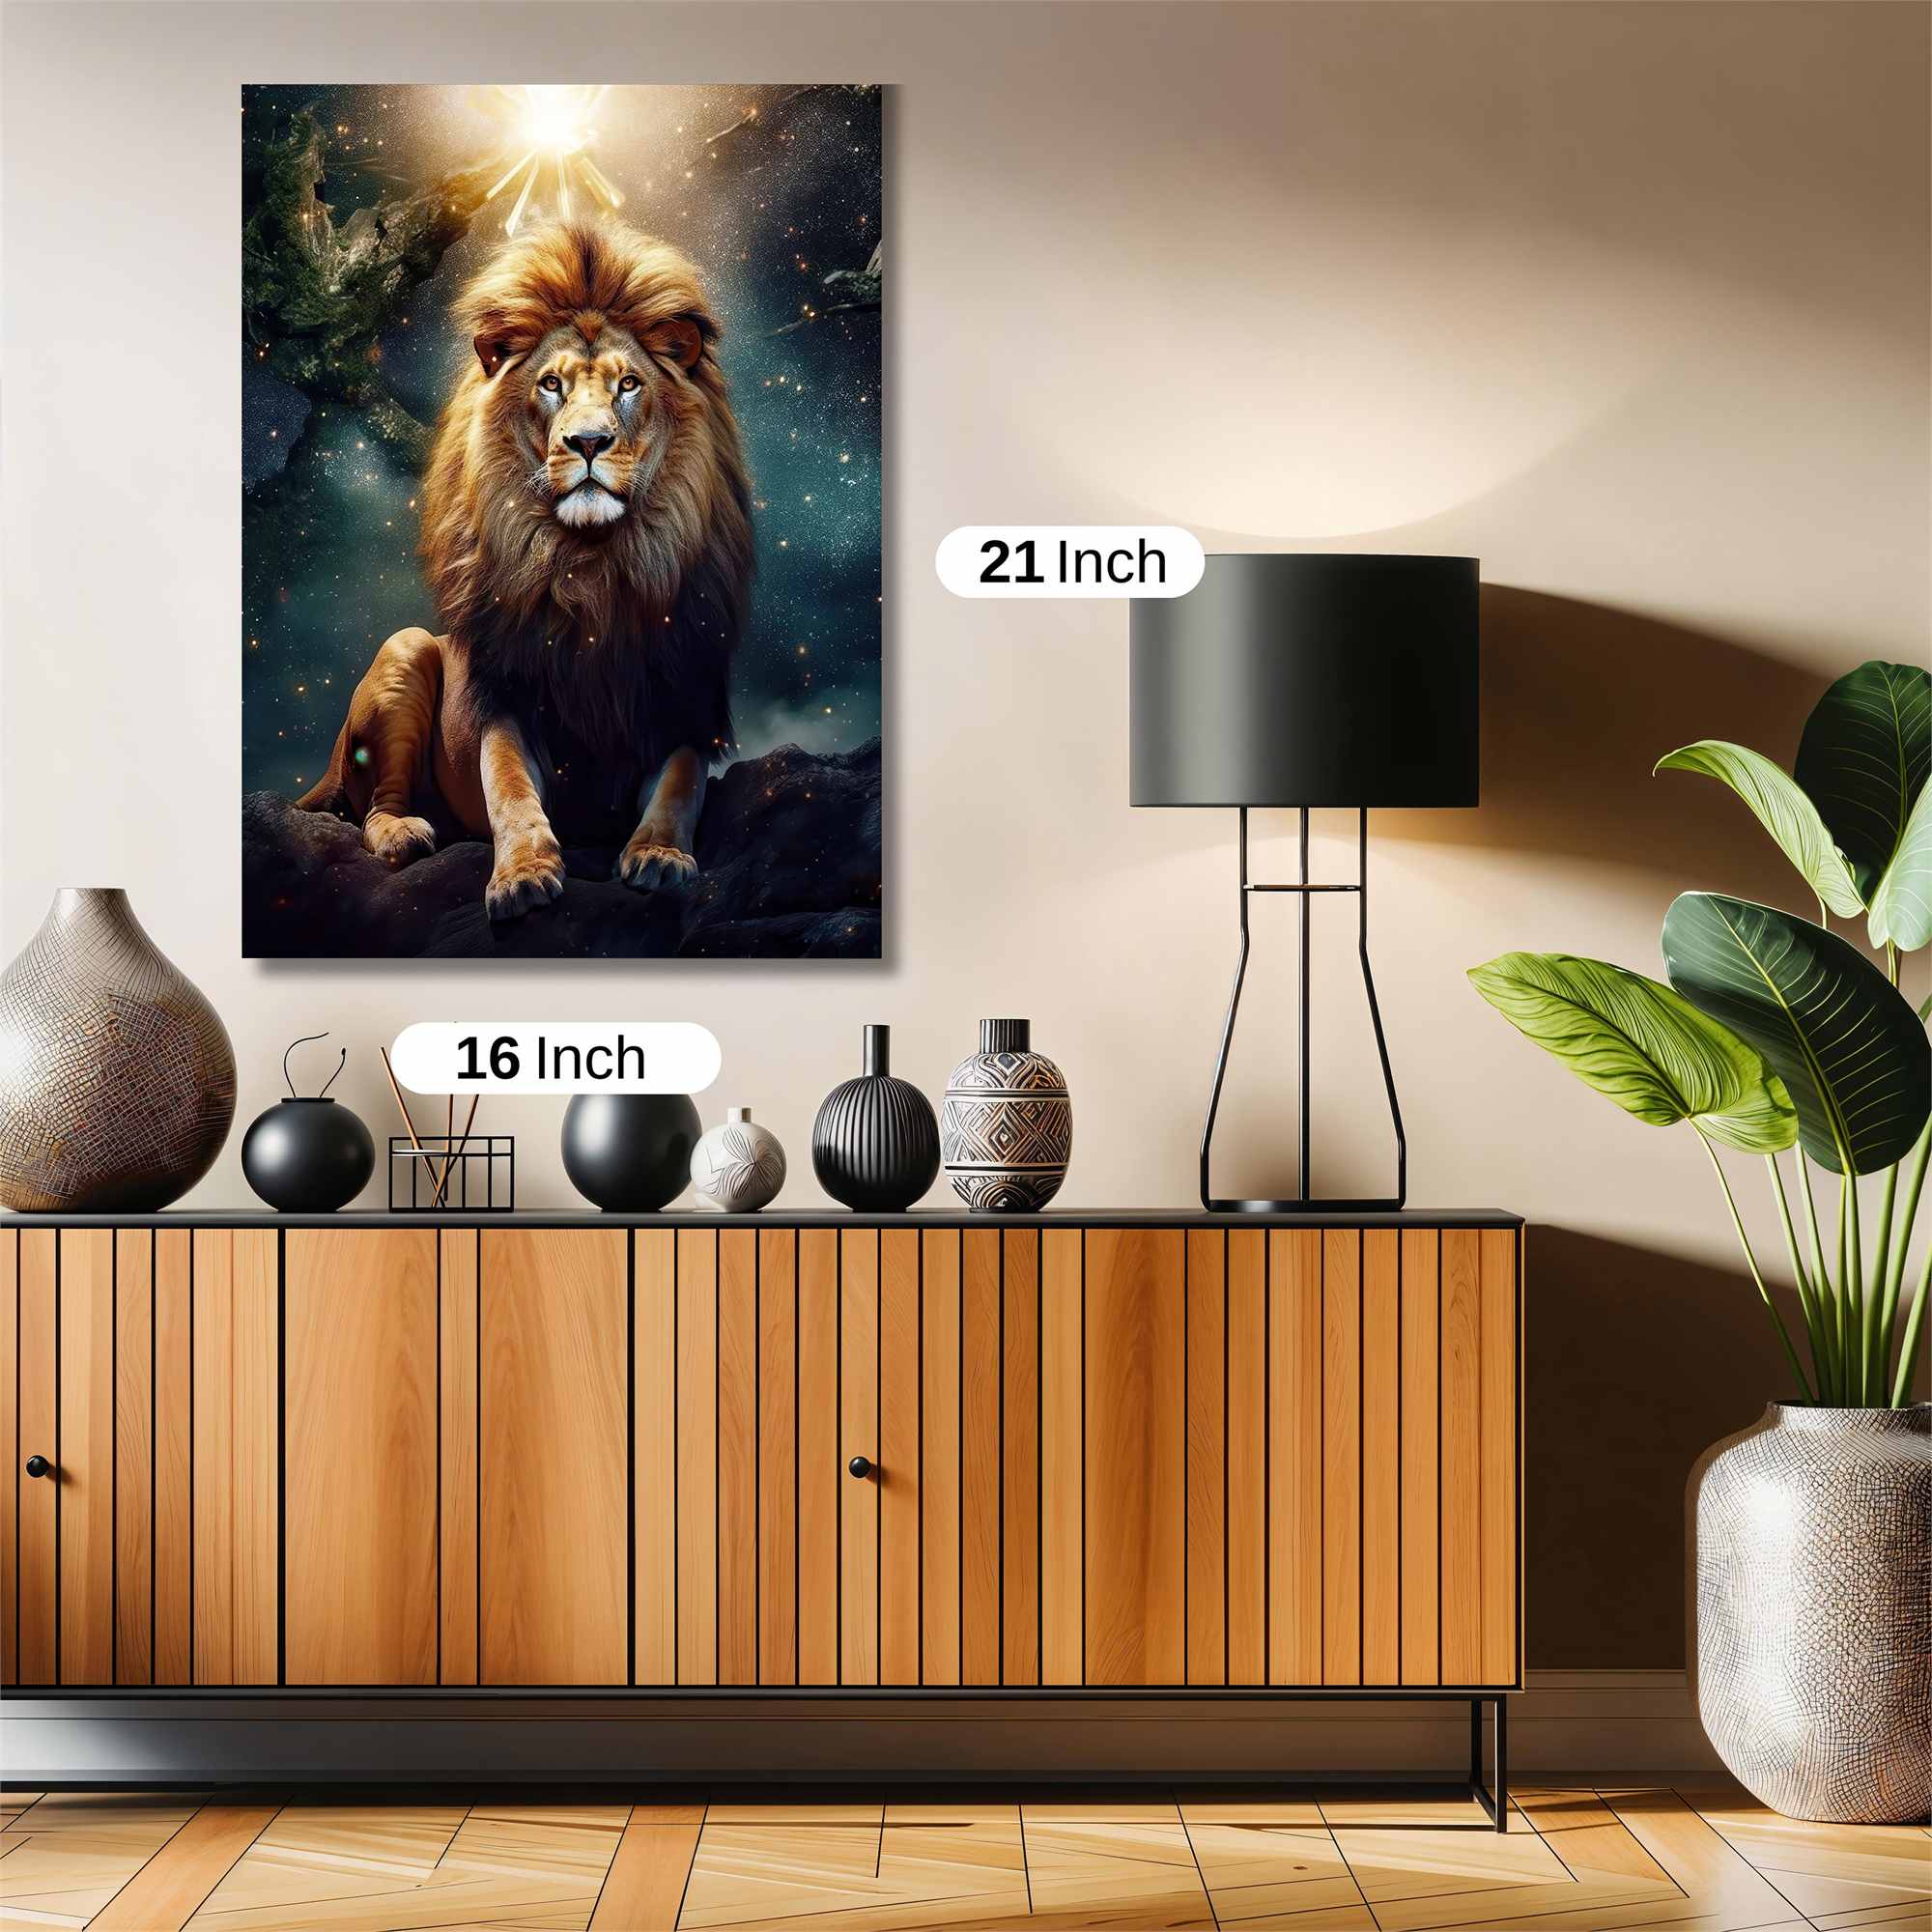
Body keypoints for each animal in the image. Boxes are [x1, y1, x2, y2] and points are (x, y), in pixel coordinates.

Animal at [298, 217, 754, 921]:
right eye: (551, 384)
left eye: (628, 384)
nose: (588, 442)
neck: (592, 567)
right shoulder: (508, 701)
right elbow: (510, 789)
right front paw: (522, 876)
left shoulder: (681, 702)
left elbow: (678, 788)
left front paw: (659, 855)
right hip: (406, 649)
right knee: (375, 806)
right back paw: (407, 833)